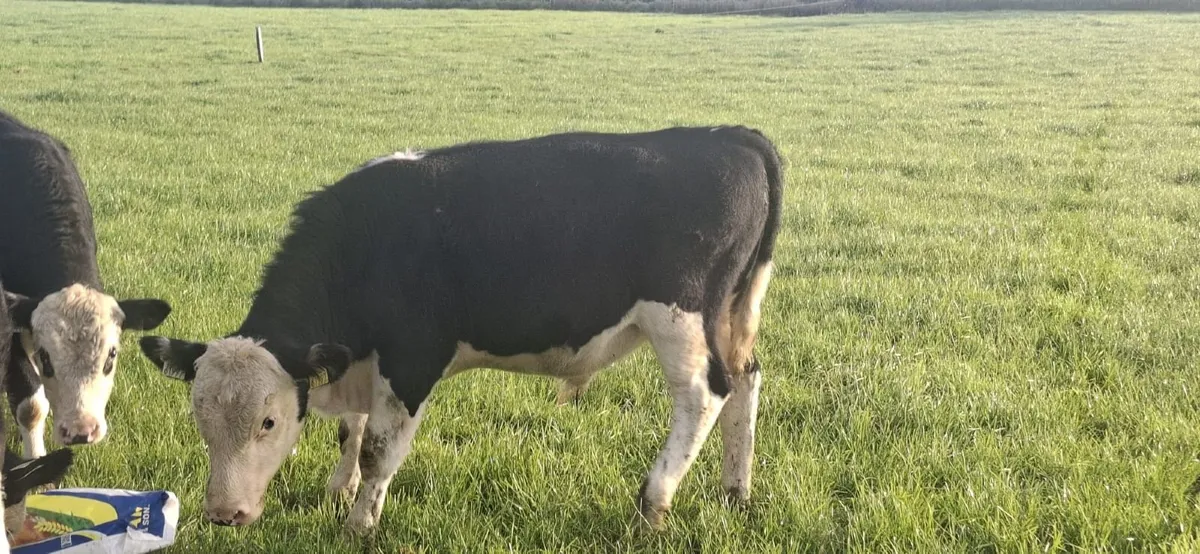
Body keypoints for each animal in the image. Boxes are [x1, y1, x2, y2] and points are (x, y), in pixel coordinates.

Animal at [139, 125, 783, 532]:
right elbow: (350, 431)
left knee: (704, 395)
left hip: (681, 318)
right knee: (746, 381)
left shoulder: (411, 360)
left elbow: (378, 448)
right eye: (200, 418)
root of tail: (725, 134)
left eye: (268, 422)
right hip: (731, 316)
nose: (224, 515)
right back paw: (736, 492)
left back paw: (653, 503)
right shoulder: (358, 356)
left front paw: (359, 523)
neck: (366, 242)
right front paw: (338, 489)